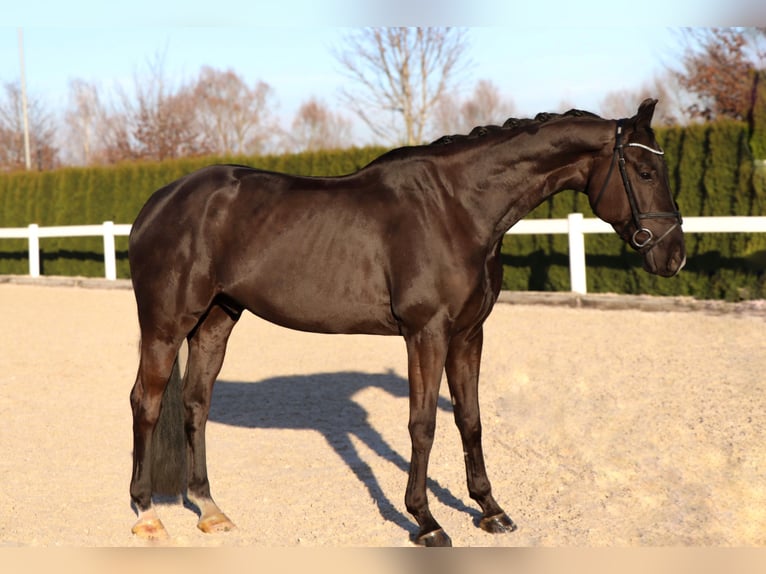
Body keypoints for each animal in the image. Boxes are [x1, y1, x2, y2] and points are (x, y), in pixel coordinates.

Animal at [129, 99, 688, 548]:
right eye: (643, 170)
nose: (674, 256)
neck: (456, 207)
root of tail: (157, 202)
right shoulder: (427, 333)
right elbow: (423, 425)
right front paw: (426, 521)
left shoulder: (468, 334)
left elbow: (470, 419)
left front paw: (491, 511)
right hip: (165, 325)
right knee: (146, 403)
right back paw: (147, 514)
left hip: (216, 320)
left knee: (196, 403)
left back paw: (209, 509)